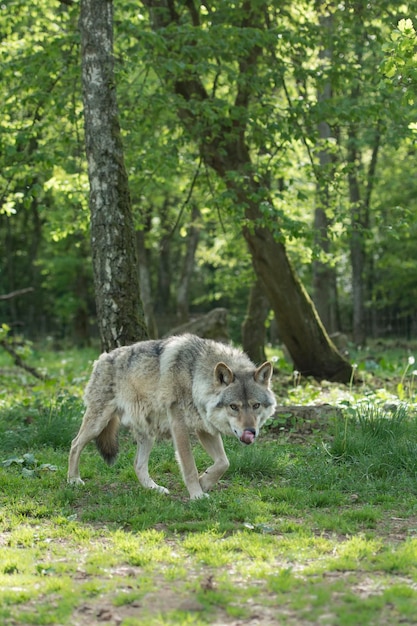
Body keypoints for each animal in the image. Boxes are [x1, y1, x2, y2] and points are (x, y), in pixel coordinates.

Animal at [67, 334, 276, 500]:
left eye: (256, 405)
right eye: (234, 407)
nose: (250, 432)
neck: (194, 376)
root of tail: (102, 358)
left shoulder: (204, 428)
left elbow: (223, 463)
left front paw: (204, 482)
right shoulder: (179, 426)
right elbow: (190, 466)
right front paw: (197, 495)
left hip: (147, 434)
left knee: (137, 465)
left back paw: (154, 489)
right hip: (98, 423)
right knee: (75, 444)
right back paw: (73, 480)